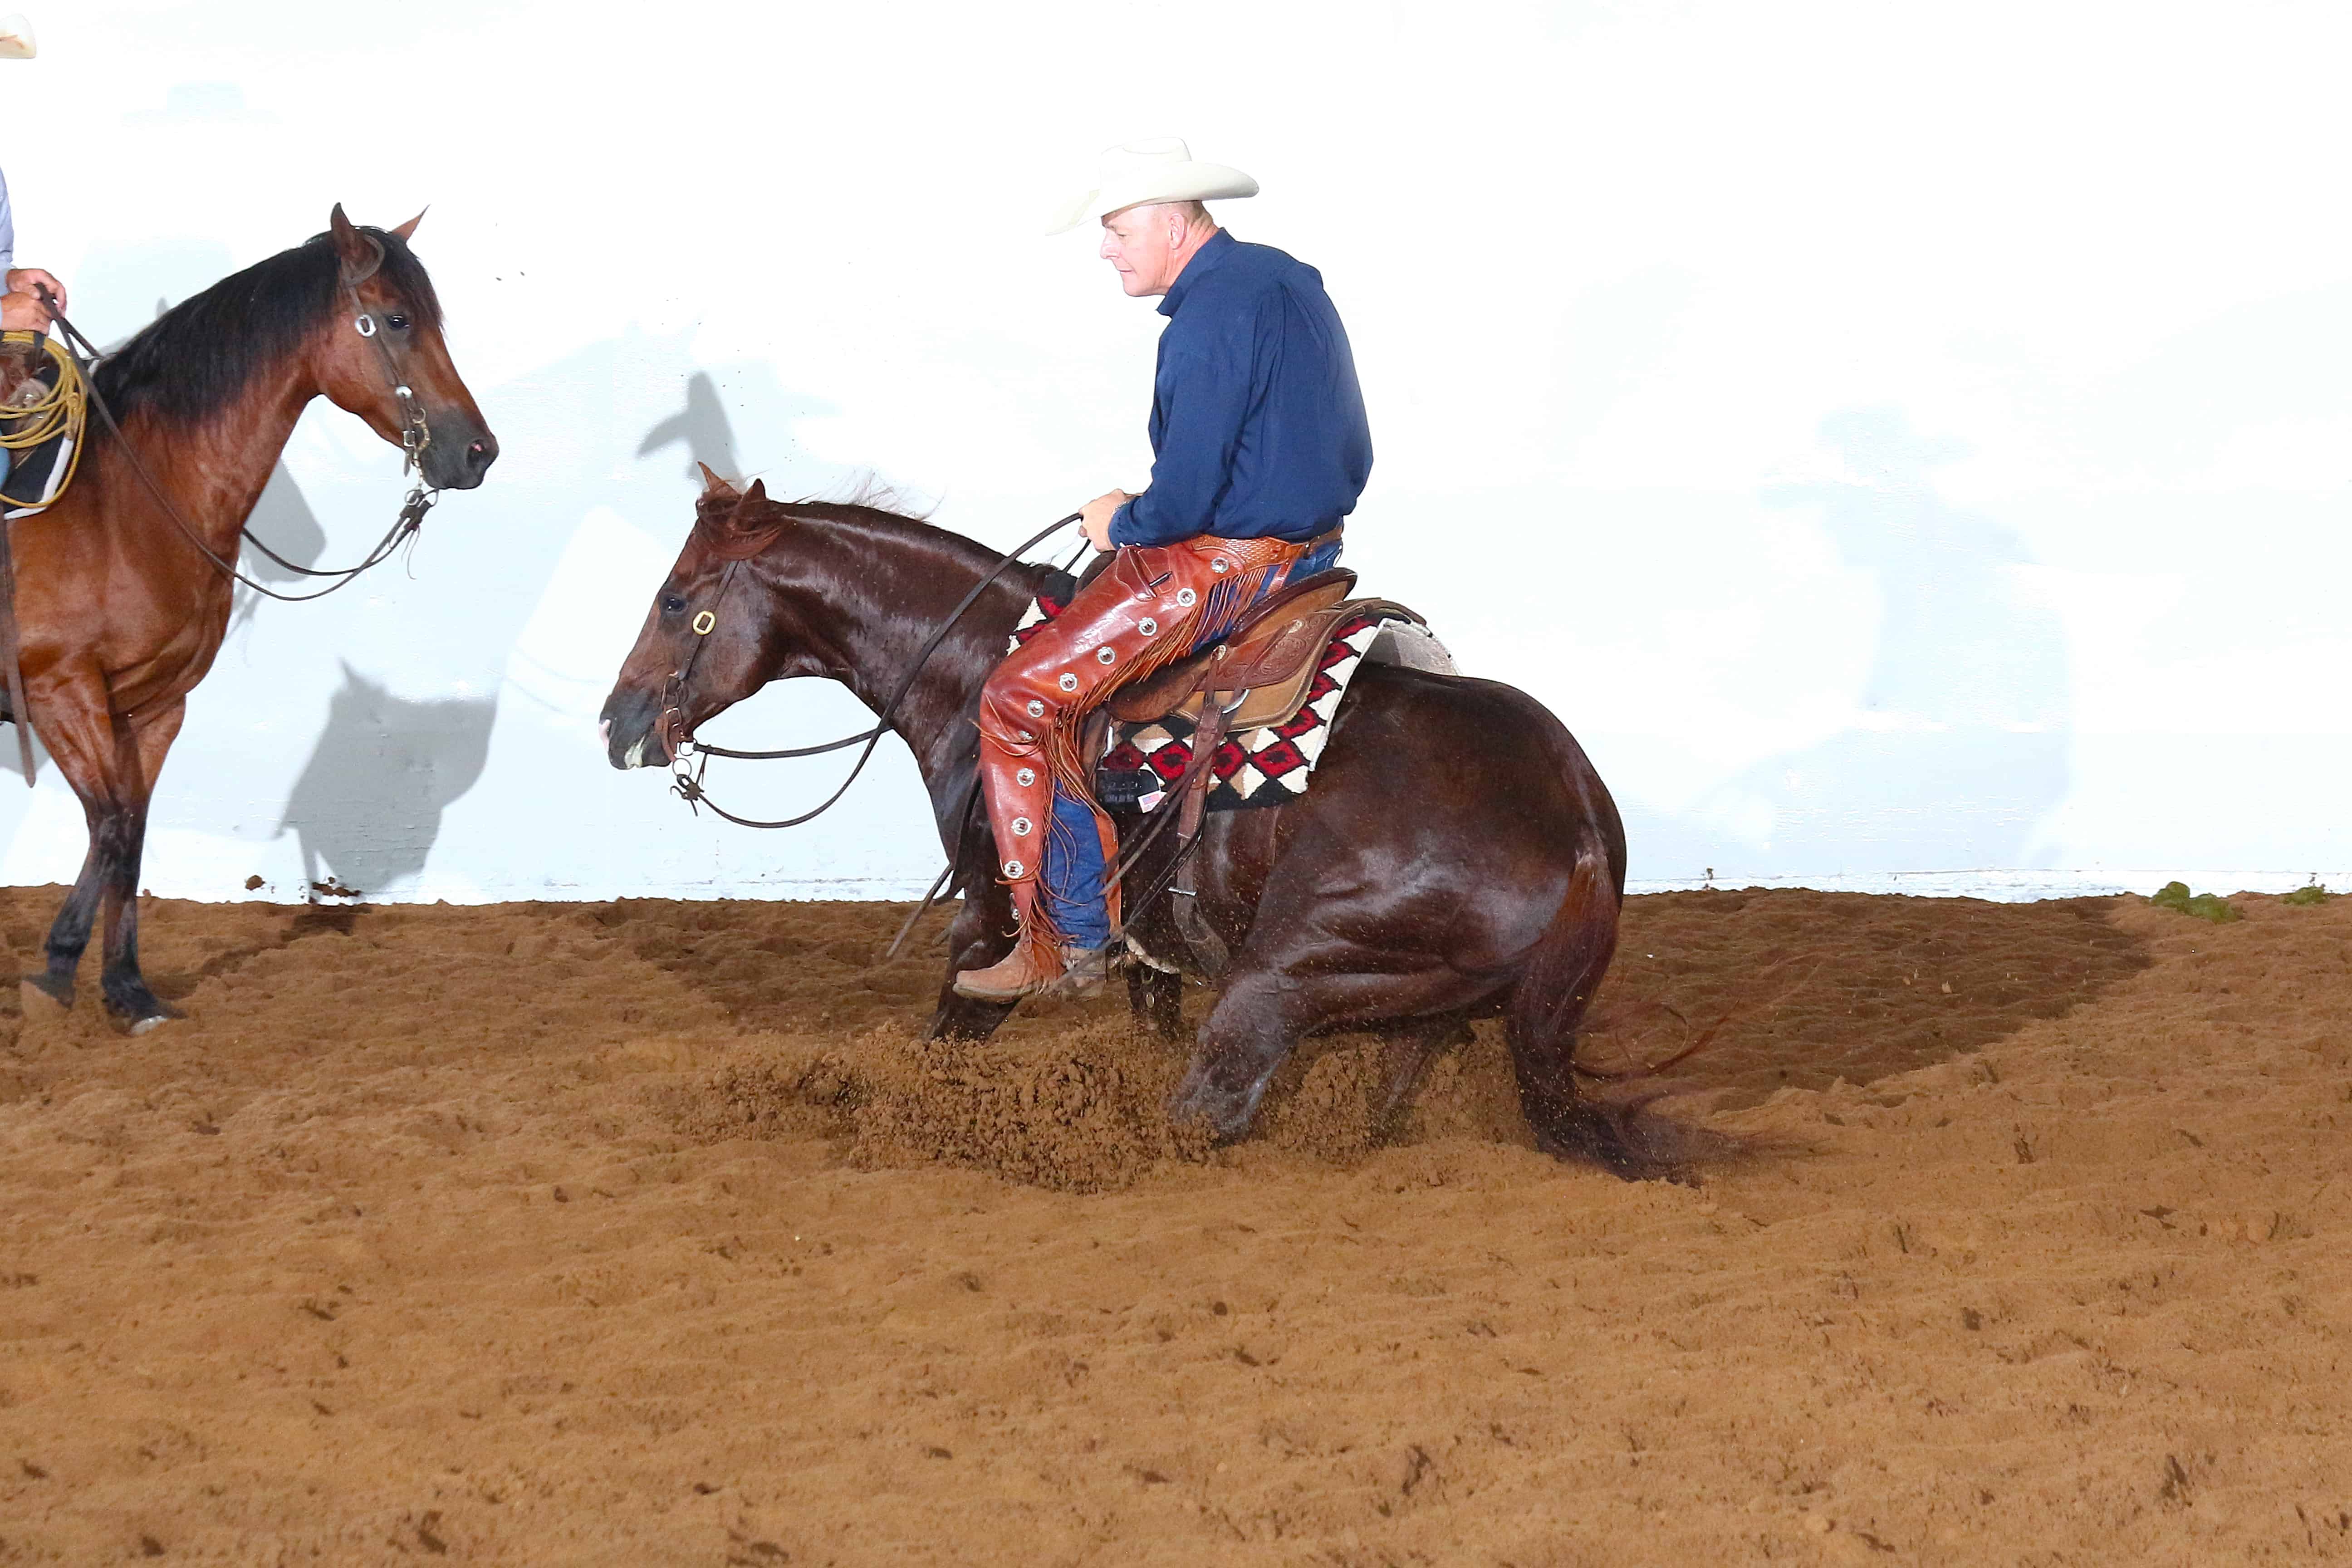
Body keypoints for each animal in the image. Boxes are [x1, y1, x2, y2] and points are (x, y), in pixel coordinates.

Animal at [3, 206, 497, 1029]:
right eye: (398, 319)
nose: (478, 453)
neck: (124, 504)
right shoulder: (60, 694)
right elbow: (111, 826)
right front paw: (56, 973)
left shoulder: (153, 706)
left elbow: (129, 833)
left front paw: (128, 988)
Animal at [599, 473, 1652, 1174]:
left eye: (676, 600)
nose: (617, 725)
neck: (975, 669)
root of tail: (1581, 833)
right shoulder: (1151, 953)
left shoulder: (989, 919)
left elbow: (945, 1036)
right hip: (1417, 1011)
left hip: (1289, 975)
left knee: (1207, 1105)